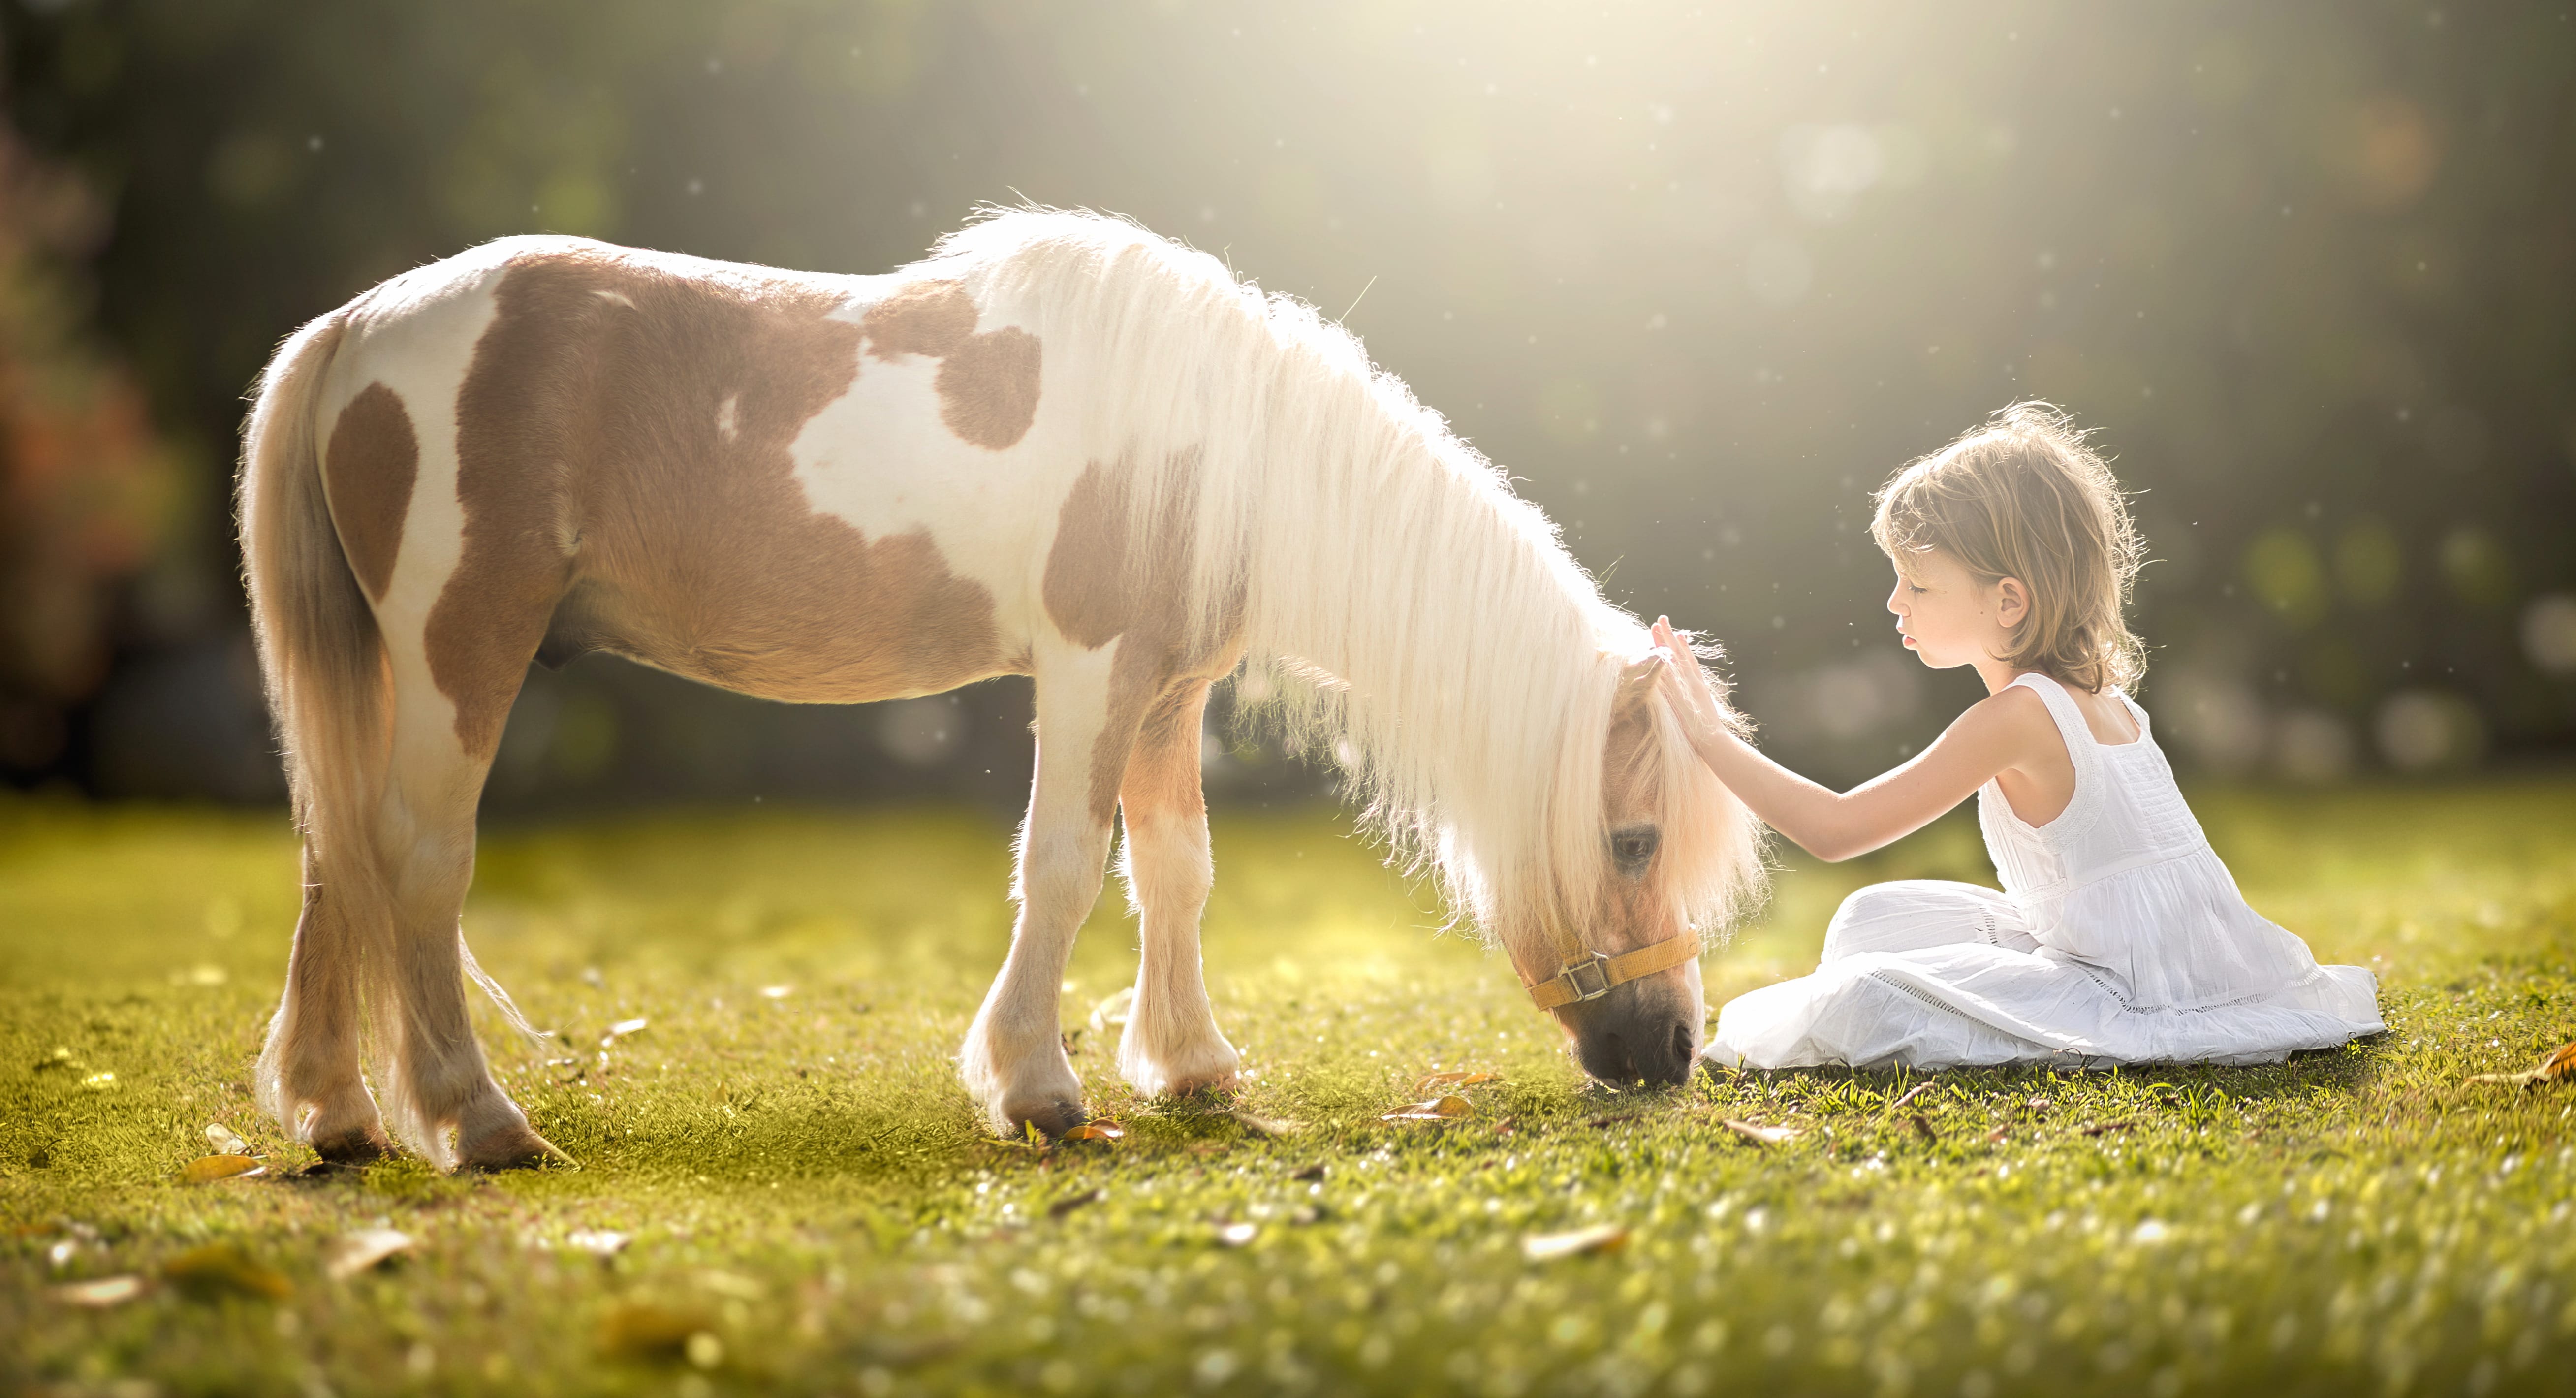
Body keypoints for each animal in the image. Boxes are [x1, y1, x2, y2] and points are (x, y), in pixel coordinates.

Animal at [237, 208, 1772, 1169]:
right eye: (1632, 841)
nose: (1670, 1051)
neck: (1205, 446)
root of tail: (355, 328)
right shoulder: (1090, 671)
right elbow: (1067, 865)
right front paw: (1038, 1090)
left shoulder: (1166, 691)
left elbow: (1176, 870)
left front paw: (1191, 1066)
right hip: (460, 652)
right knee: (417, 862)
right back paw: (477, 1122)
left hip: (382, 675)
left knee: (333, 858)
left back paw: (335, 1118)